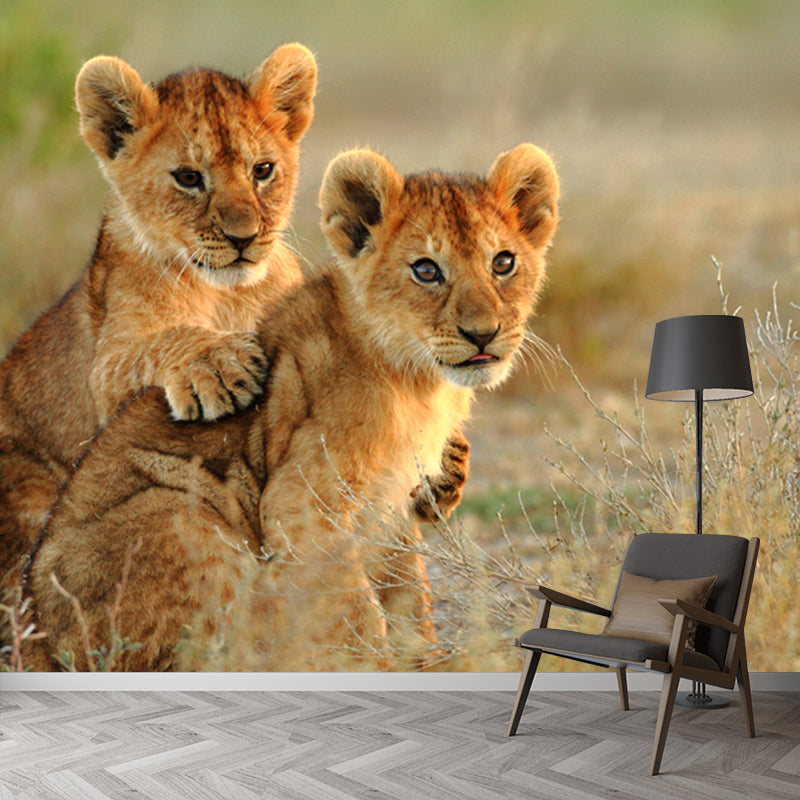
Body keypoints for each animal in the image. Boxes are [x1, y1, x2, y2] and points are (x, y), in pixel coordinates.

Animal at [0, 45, 317, 597]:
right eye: (188, 178)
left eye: (263, 170)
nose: (244, 237)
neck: (227, 294)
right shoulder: (106, 366)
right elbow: (160, 343)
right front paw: (218, 363)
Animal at [21, 143, 559, 671]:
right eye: (426, 270)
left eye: (503, 263)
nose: (483, 334)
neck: (420, 383)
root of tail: (36, 631)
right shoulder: (302, 500)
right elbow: (354, 606)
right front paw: (373, 667)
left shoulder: (390, 504)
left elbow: (408, 591)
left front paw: (424, 657)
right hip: (180, 512)